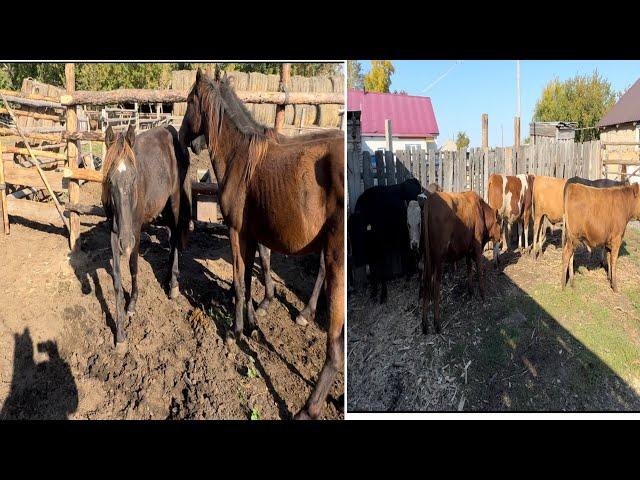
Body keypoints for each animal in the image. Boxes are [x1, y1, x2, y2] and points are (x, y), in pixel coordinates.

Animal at [102, 124, 190, 348]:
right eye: (110, 181)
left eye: (135, 178)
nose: (125, 242)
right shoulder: (113, 234)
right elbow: (117, 281)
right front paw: (120, 336)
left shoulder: (135, 232)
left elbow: (133, 268)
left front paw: (132, 304)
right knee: (171, 238)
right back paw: (168, 277)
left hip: (175, 202)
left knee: (175, 238)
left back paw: (173, 285)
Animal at [178, 68, 342, 420]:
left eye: (189, 101)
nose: (187, 139)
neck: (240, 157)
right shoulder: (254, 234)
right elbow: (256, 272)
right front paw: (257, 317)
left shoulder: (237, 232)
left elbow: (241, 282)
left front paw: (236, 332)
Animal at [348, 176, 422, 304]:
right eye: (350, 234)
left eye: (362, 232)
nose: (358, 260)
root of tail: (412, 180)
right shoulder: (371, 252)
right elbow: (373, 271)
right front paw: (373, 293)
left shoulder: (381, 248)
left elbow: (381, 270)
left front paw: (383, 295)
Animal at [422, 190, 502, 334]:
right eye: (500, 223)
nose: (501, 239)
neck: (481, 210)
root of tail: (431, 198)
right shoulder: (477, 246)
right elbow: (479, 270)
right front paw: (482, 295)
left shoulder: (467, 249)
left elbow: (469, 269)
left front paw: (470, 292)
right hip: (438, 258)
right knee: (436, 285)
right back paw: (437, 324)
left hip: (427, 257)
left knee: (426, 282)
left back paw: (425, 324)